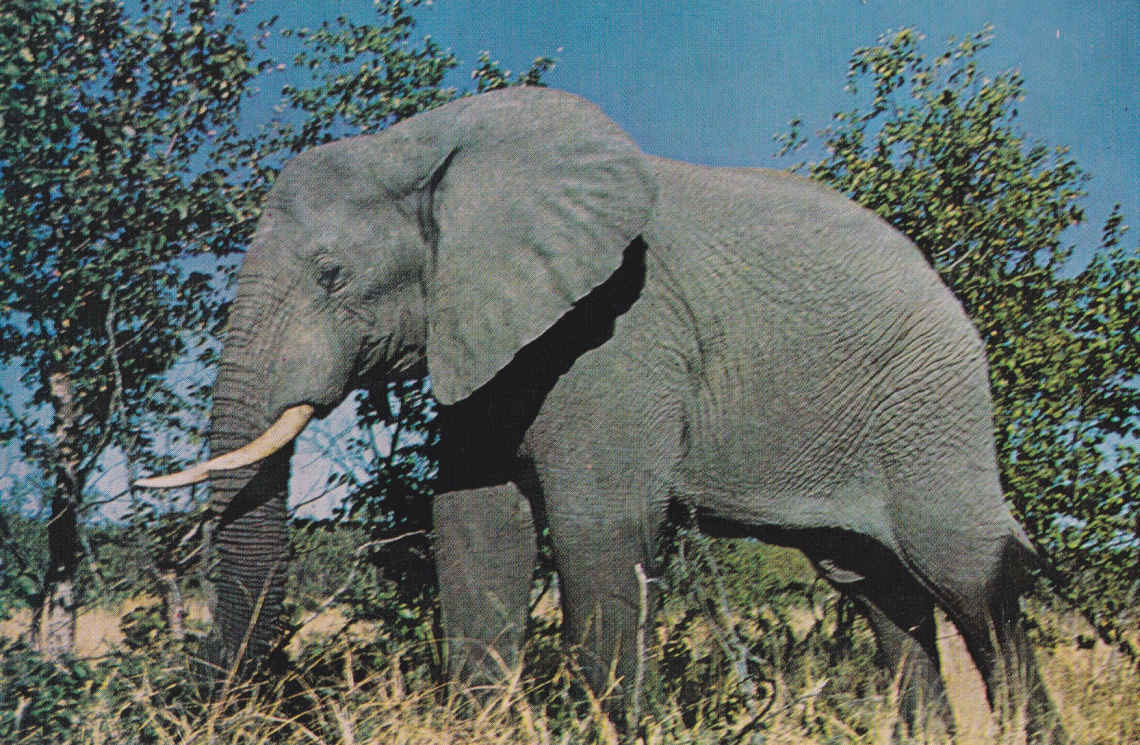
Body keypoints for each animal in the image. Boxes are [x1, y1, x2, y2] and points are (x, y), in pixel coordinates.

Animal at [139, 86, 1066, 742]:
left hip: (932, 392)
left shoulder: (619, 331)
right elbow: (475, 525)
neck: (425, 144)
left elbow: (597, 527)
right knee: (874, 584)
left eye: (332, 275)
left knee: (963, 567)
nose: (193, 703)